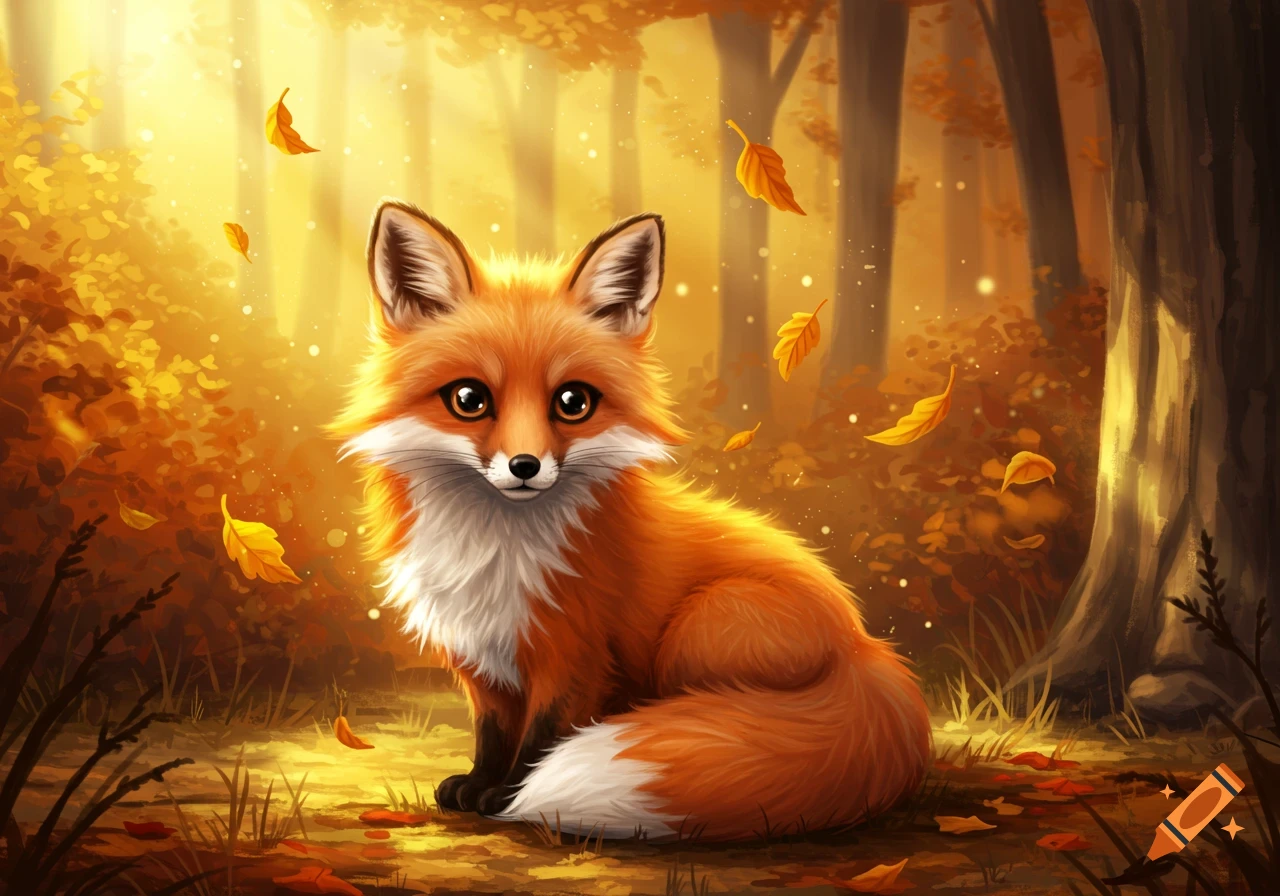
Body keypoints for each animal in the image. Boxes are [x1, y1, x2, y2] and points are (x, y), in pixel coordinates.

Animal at [331, 199, 932, 840]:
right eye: (469, 399)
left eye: (573, 402)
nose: (525, 466)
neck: (496, 551)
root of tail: (868, 646)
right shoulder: (480, 655)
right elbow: (493, 733)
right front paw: (477, 784)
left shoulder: (574, 652)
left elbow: (543, 737)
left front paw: (510, 793)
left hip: (703, 623)